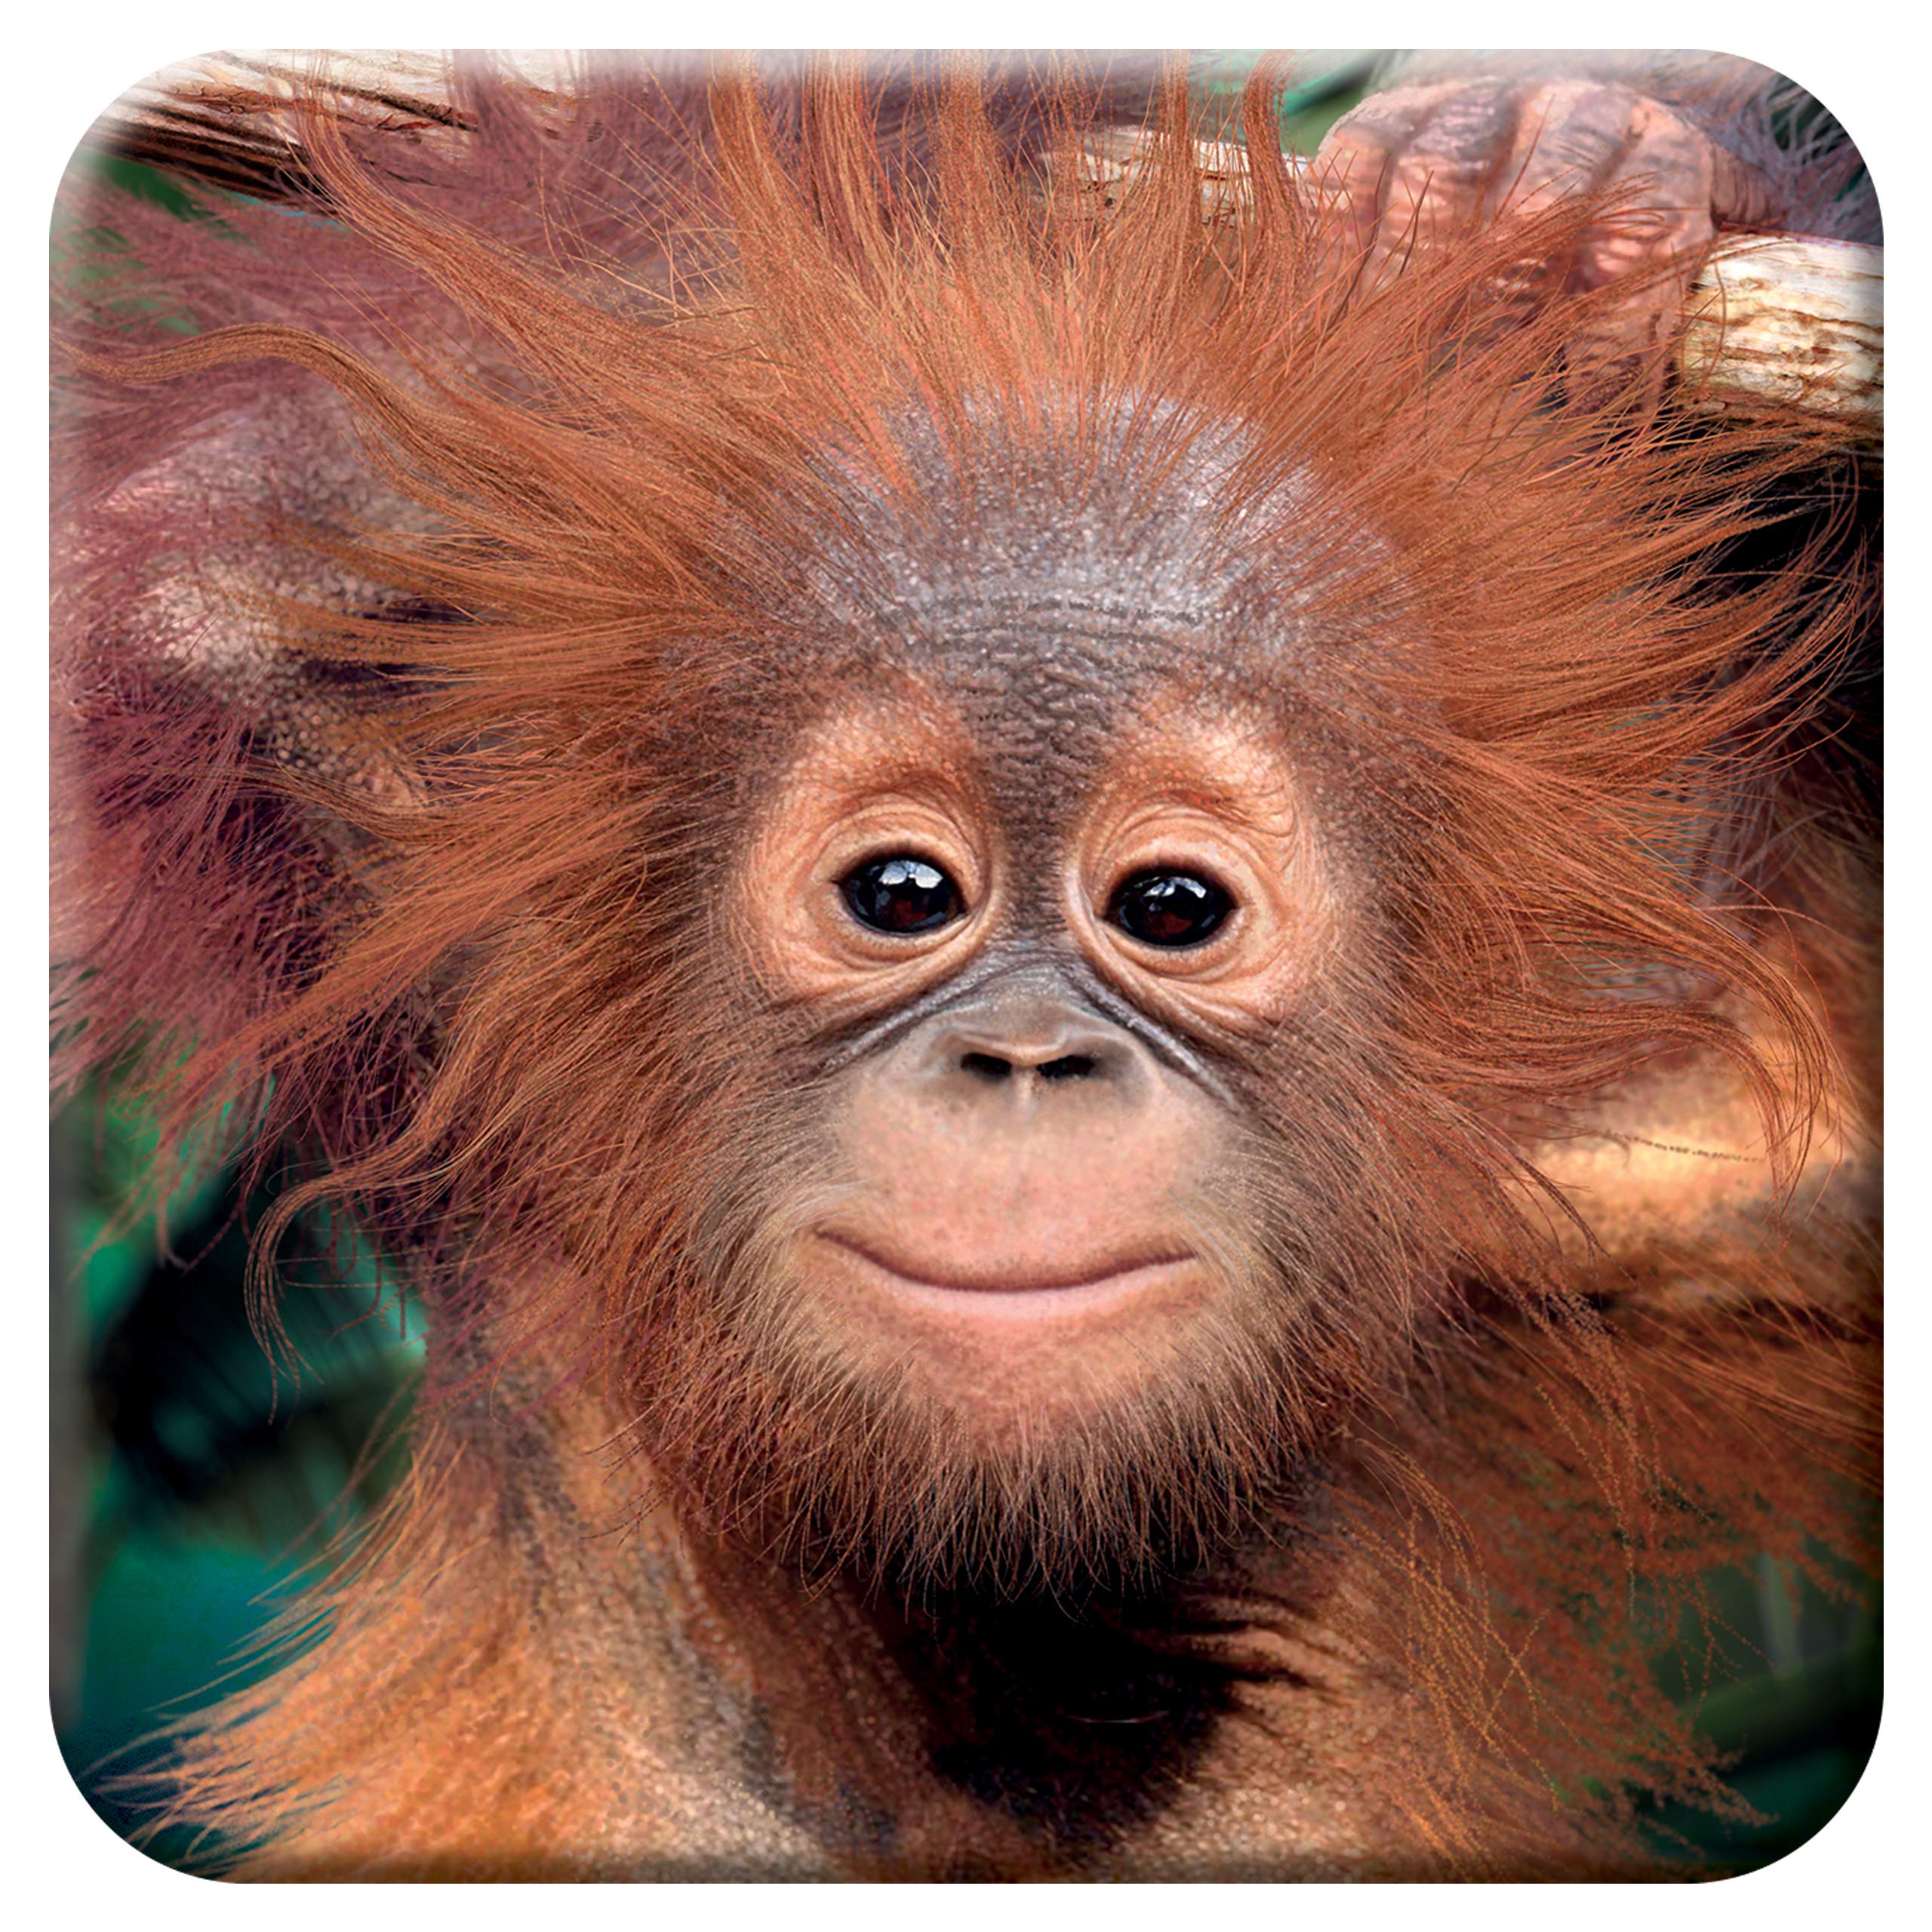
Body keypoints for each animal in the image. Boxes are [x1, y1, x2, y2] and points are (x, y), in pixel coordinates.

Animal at [52, 52, 1879, 1880]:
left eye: (1170, 909)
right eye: (901, 892)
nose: (1023, 1059)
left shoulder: (1556, 1222)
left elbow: (1831, 1185)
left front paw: (1575, 157)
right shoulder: (473, 1049)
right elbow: (209, 588)